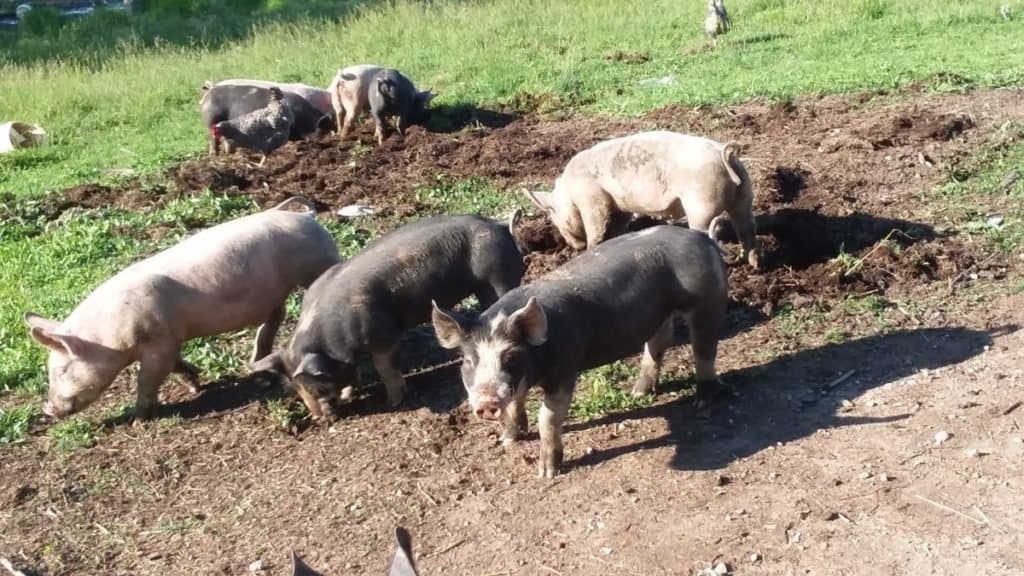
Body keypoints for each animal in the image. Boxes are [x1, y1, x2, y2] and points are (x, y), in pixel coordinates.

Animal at [23, 196, 339, 422]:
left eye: (62, 370)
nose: (48, 410)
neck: (109, 338)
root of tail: (305, 216)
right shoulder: (169, 340)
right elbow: (176, 365)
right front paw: (195, 384)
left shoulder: (159, 342)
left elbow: (147, 380)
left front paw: (139, 419)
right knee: (275, 315)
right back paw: (255, 363)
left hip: (316, 262)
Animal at [245, 211, 520, 416]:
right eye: (296, 390)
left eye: (318, 390)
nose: (320, 418)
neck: (325, 338)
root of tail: (500, 224)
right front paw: (349, 394)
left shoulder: (382, 334)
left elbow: (384, 367)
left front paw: (394, 402)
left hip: (498, 277)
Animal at [430, 224, 729, 475]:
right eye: (469, 360)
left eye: (510, 357)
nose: (487, 403)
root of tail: (701, 237)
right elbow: (514, 405)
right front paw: (507, 440)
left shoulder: (565, 368)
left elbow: (547, 418)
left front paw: (546, 473)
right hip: (659, 314)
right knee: (659, 341)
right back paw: (638, 393)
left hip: (706, 300)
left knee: (704, 349)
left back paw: (702, 401)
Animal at [528, 130, 761, 266]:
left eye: (554, 219)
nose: (572, 246)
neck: (568, 191)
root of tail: (724, 154)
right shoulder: (621, 206)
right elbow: (618, 226)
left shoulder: (591, 199)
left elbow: (596, 227)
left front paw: (588, 250)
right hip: (744, 197)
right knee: (747, 230)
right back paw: (753, 265)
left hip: (701, 203)